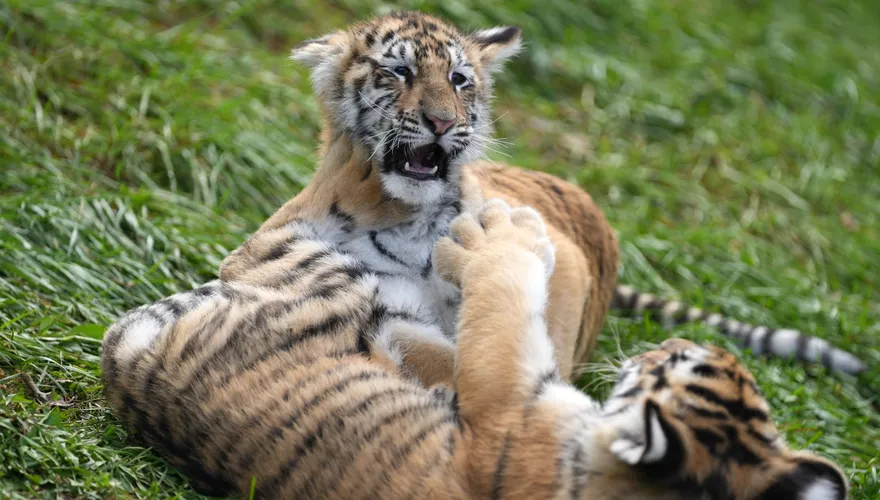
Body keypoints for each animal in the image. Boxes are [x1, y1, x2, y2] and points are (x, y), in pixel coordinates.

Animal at [102, 199, 848, 499]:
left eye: (671, 365)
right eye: (697, 362)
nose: (670, 341)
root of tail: (127, 369)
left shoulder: (508, 399)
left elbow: (499, 305)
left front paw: (500, 235)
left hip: (320, 272)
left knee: (281, 241)